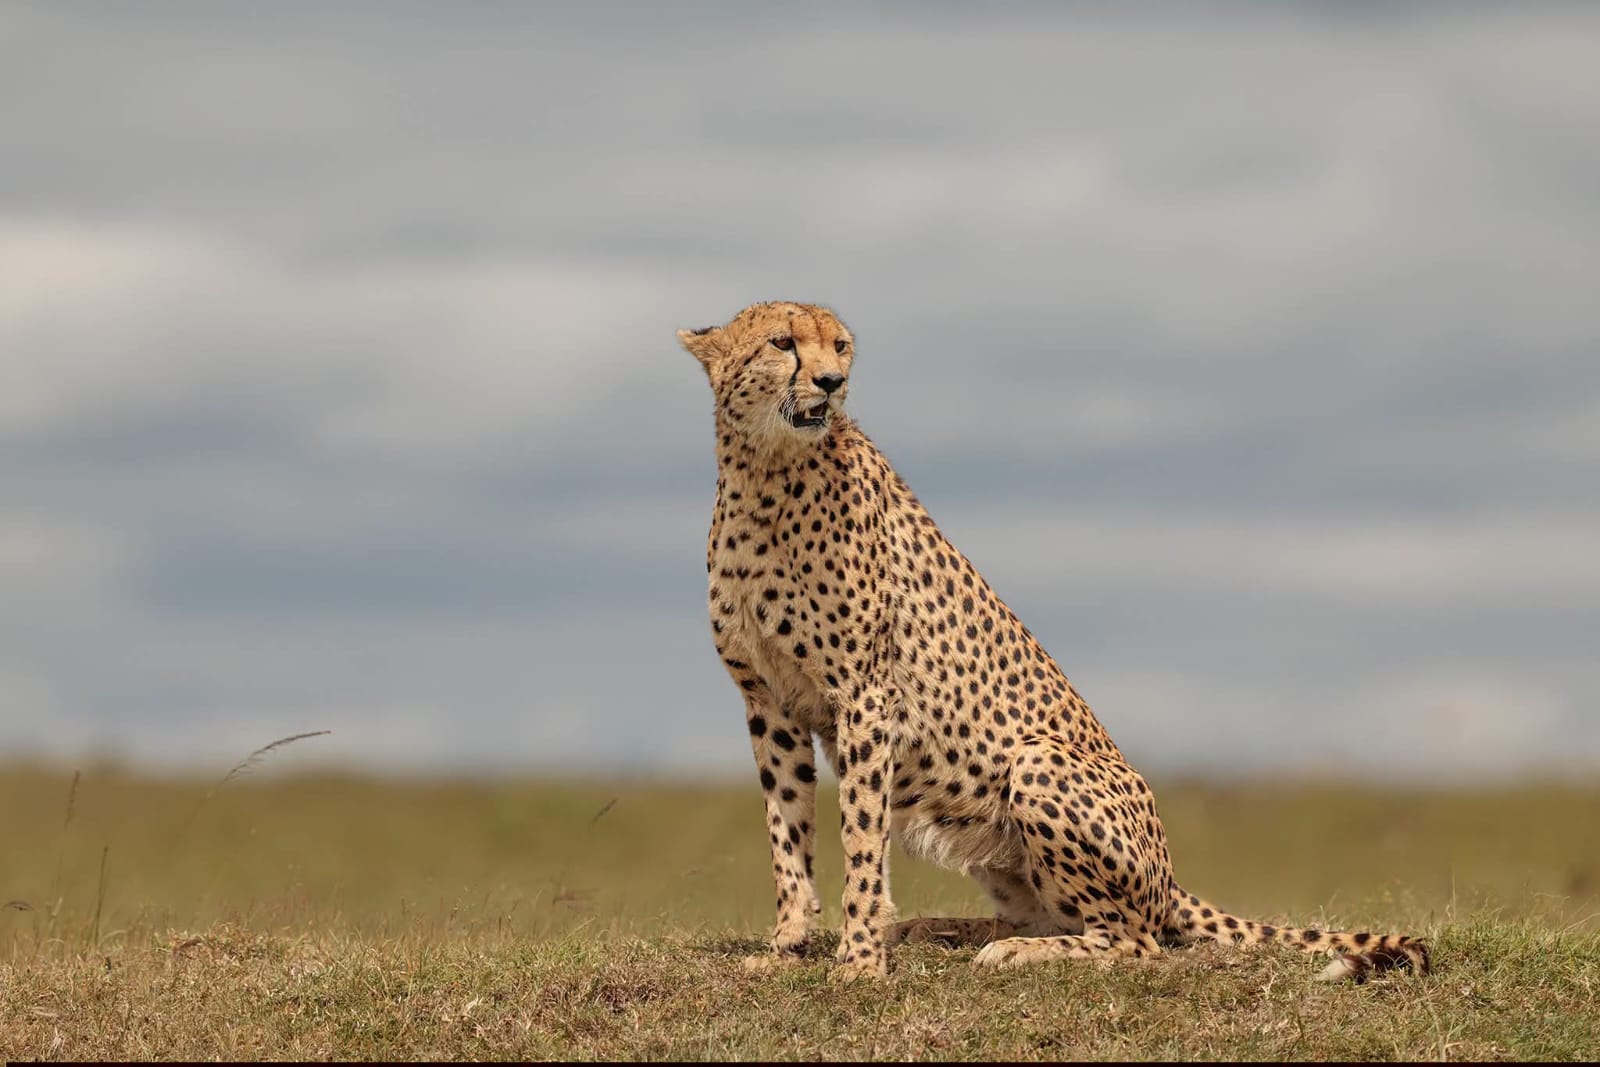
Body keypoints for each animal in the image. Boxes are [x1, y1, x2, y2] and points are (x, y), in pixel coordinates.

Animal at [677, 300, 1431, 983]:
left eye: (840, 346)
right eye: (783, 342)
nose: (833, 382)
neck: (764, 472)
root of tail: (1169, 875)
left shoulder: (866, 696)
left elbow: (861, 836)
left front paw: (859, 959)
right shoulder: (769, 701)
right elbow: (787, 829)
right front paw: (788, 946)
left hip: (1037, 763)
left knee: (1136, 941)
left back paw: (1007, 950)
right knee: (1047, 913)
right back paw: (940, 928)